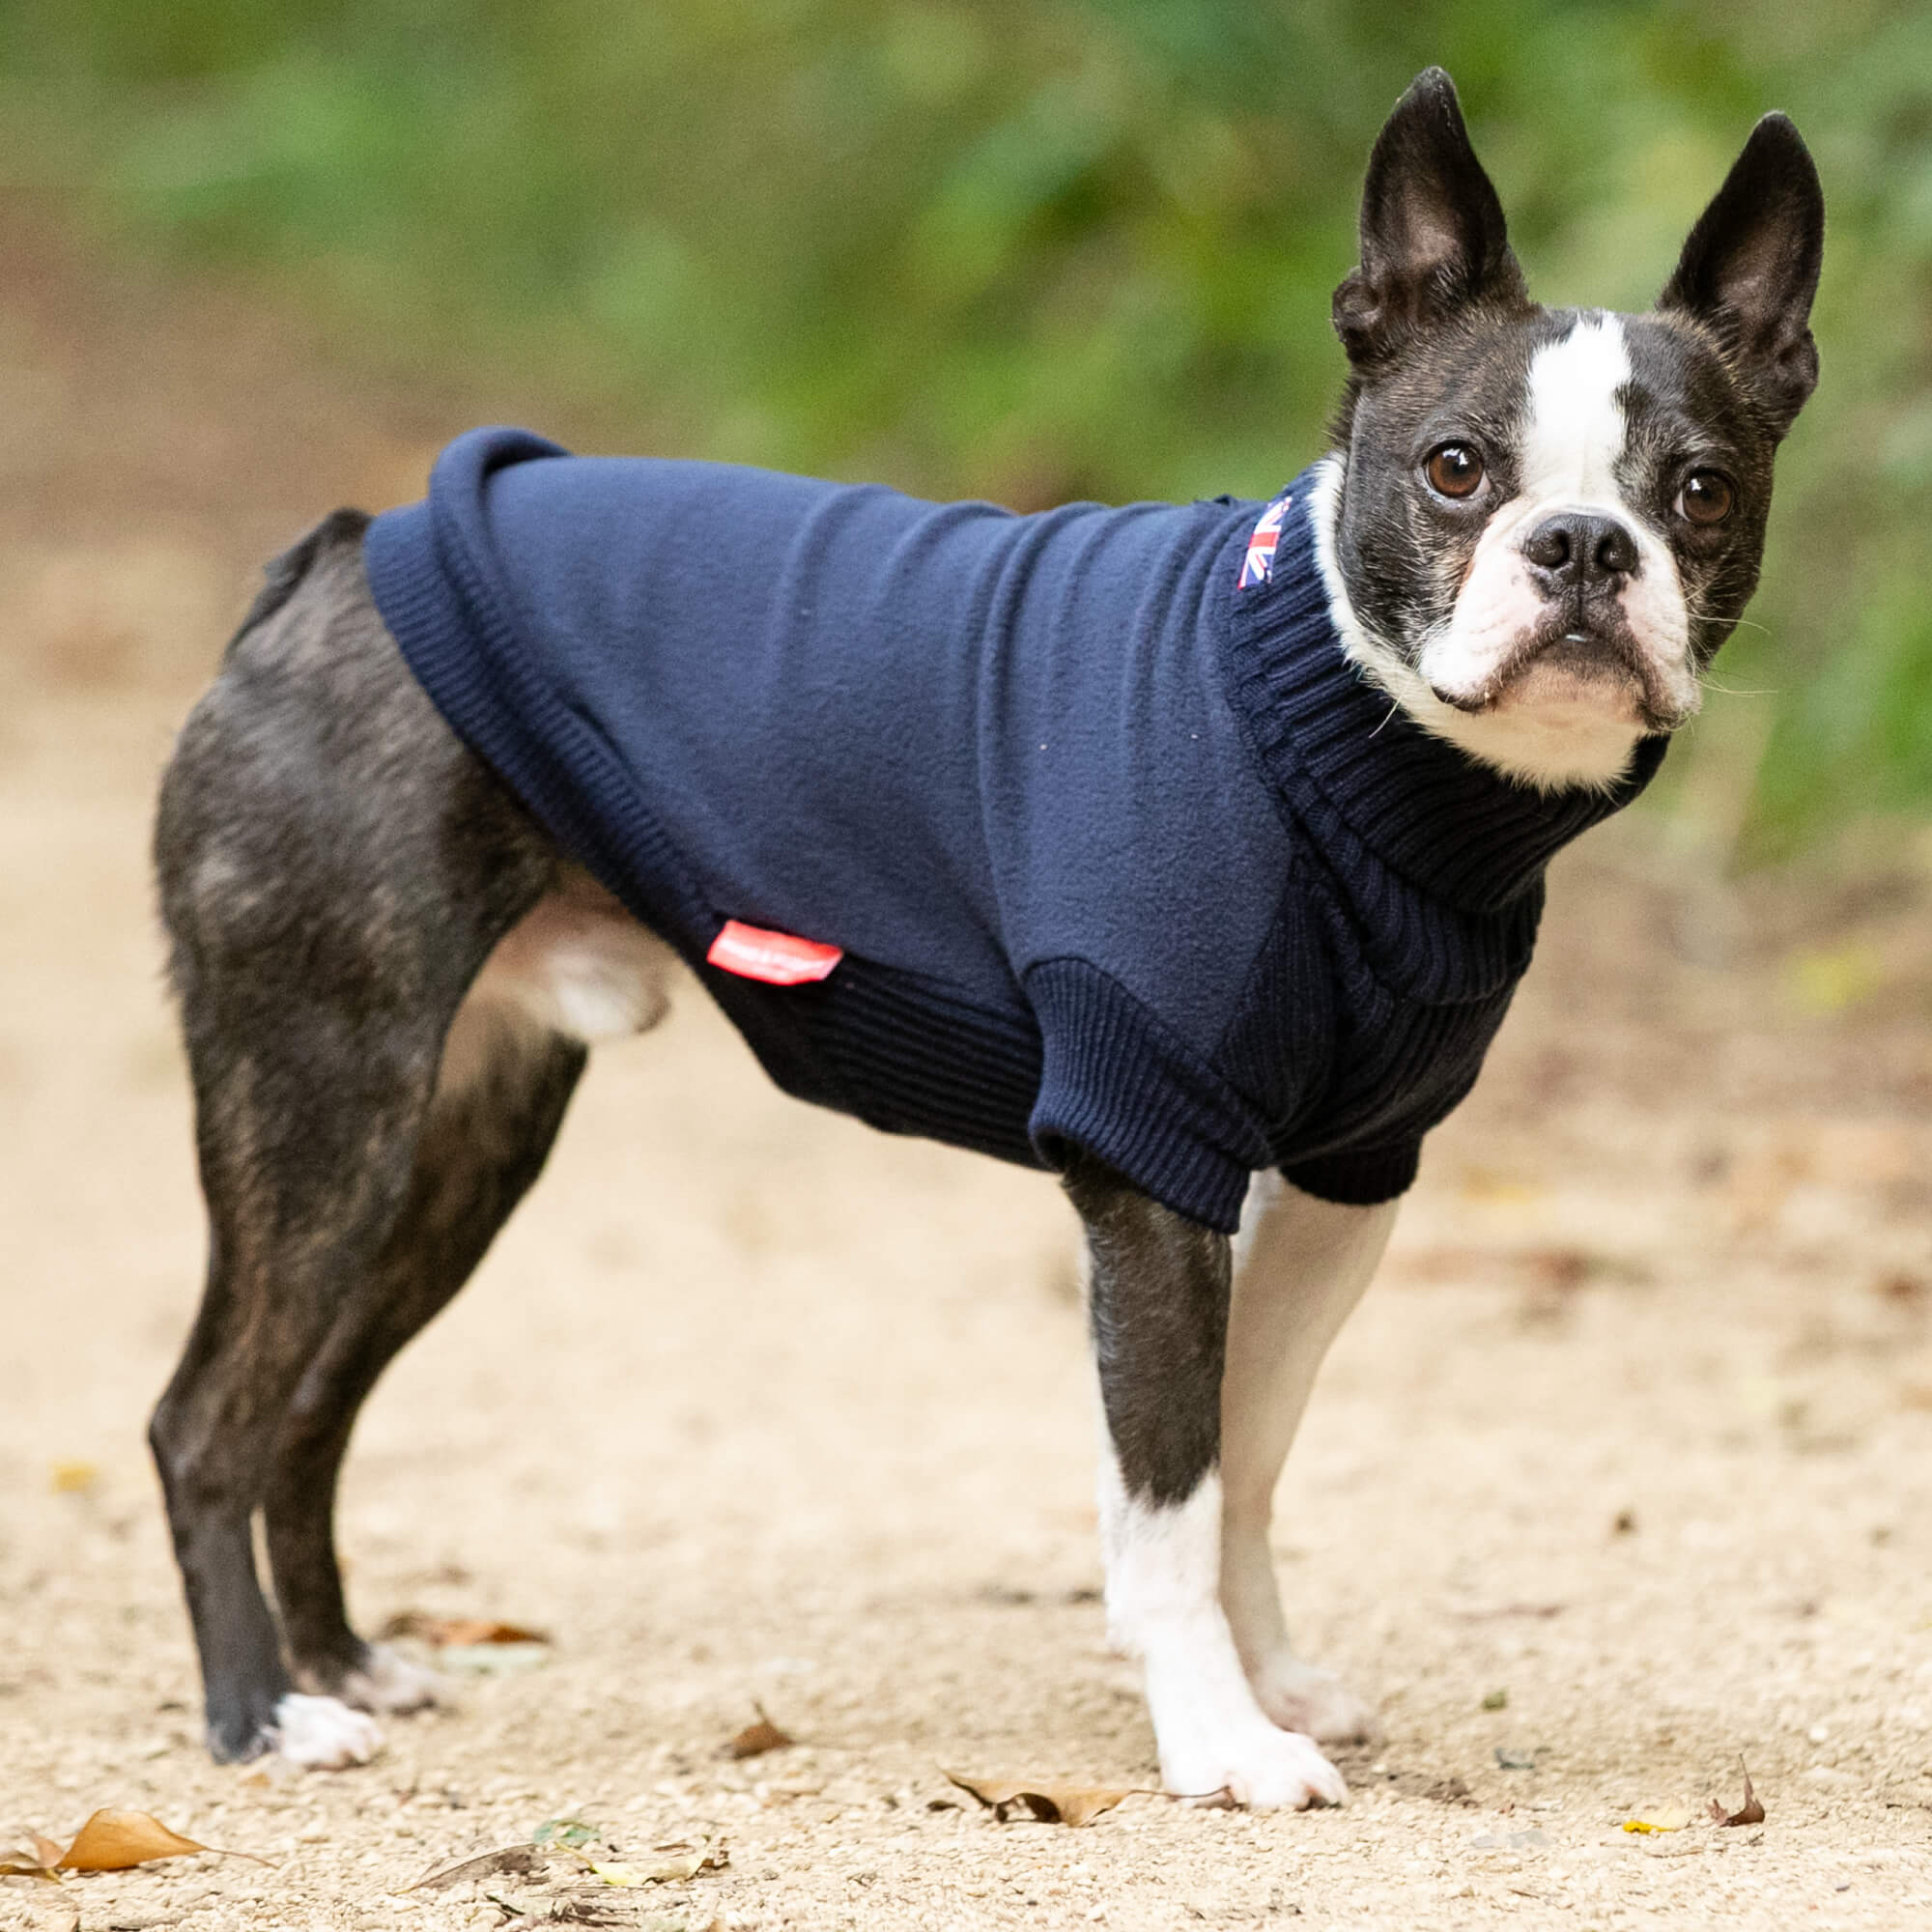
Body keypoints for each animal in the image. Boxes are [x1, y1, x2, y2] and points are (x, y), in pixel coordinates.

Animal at [147, 68, 1808, 1801]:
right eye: (1458, 469)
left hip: (464, 1130)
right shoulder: (1149, 1164)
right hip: (326, 1096)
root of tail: (339, 558)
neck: (1340, 736)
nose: (1584, 546)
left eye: (1702, 491)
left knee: (311, 1402)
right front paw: (1223, 1738)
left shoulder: (1344, 1183)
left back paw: (341, 1660)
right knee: (208, 1417)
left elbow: (1251, 1457)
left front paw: (1270, 1680)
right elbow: (1171, 1495)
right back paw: (263, 1712)